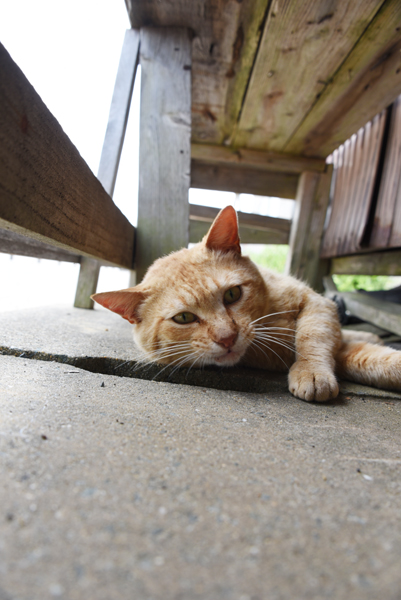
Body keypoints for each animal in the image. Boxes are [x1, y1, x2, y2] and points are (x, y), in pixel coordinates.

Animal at [92, 207, 400, 404]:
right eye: (184, 318)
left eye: (232, 294)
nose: (227, 338)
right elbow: (368, 360)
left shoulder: (317, 303)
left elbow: (314, 335)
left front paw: (311, 370)